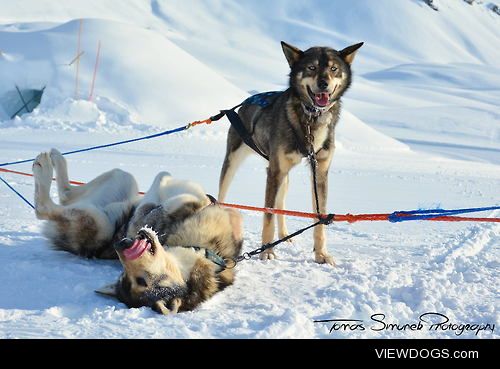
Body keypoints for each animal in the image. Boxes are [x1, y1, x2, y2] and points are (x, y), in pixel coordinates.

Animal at [32, 149, 243, 314]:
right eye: (123, 274)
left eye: (141, 281)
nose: (121, 244)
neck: (205, 253)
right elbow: (169, 186)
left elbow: (172, 194)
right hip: (121, 182)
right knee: (66, 194)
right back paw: (52, 159)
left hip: (97, 220)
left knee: (46, 207)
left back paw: (43, 166)